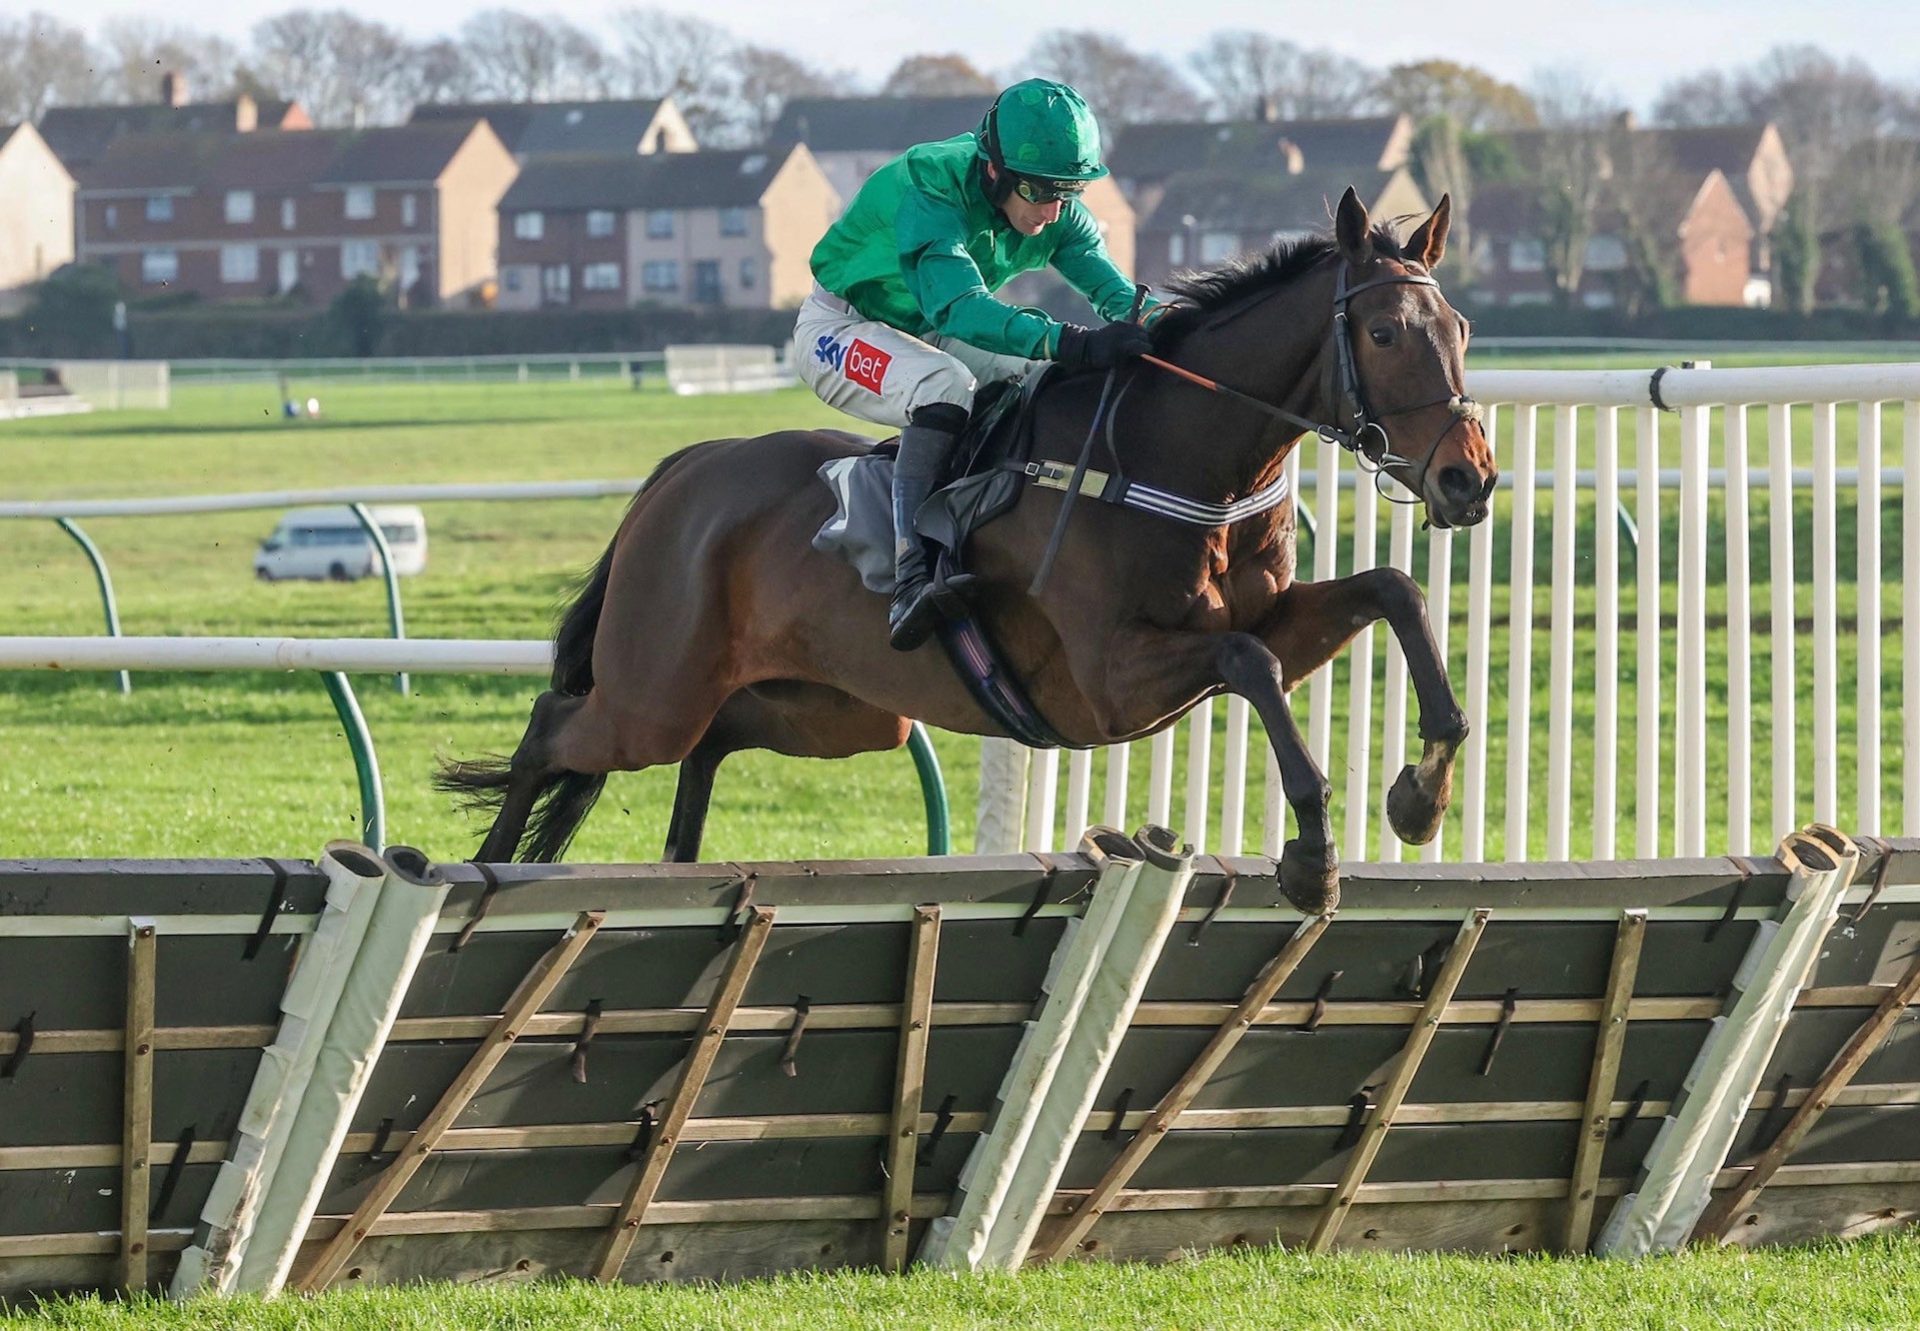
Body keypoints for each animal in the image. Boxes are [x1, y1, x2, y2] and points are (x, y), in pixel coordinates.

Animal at [445, 187, 1497, 914]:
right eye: (1384, 331)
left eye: (1461, 327)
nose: (1468, 479)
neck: (1181, 452)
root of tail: (684, 469)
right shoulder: (1112, 681)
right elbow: (1251, 662)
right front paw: (1314, 857)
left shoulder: (1267, 614)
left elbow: (1391, 590)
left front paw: (1420, 796)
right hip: (652, 695)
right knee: (550, 729)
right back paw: (482, 868)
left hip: (831, 712)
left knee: (705, 746)